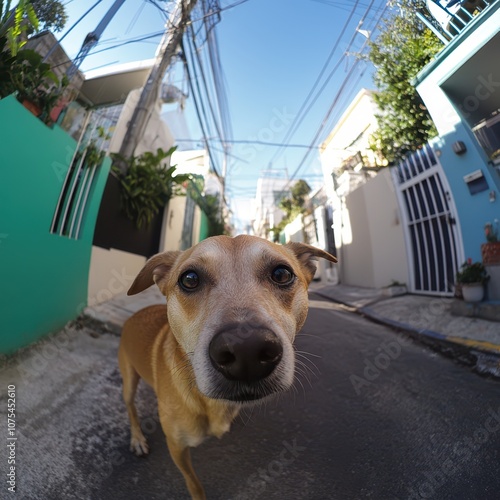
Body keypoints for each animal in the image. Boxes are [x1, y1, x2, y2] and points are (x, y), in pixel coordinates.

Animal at [118, 235, 336, 500]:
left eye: (282, 274)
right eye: (189, 279)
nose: (246, 350)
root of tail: (134, 314)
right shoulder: (177, 447)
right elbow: (194, 483)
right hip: (128, 381)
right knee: (131, 407)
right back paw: (138, 438)